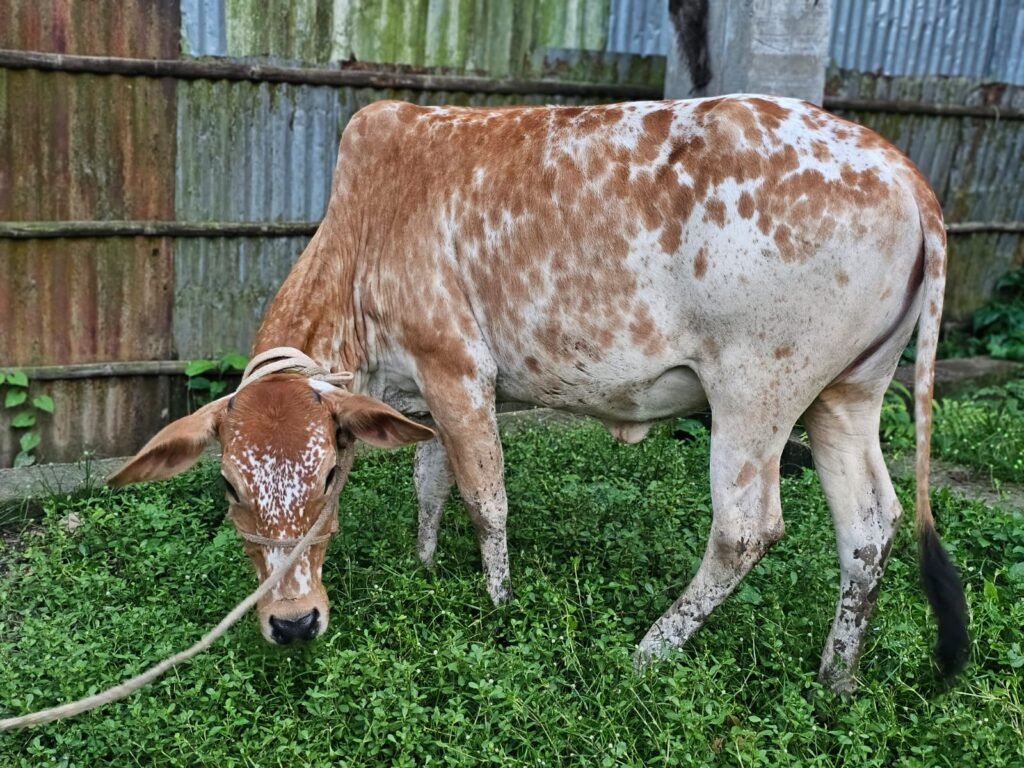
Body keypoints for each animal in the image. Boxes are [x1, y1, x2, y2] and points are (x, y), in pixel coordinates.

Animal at [110, 95, 969, 692]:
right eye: (229, 485)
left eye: (326, 476)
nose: (293, 623)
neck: (363, 232)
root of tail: (908, 178)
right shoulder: (423, 393)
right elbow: (431, 480)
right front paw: (426, 564)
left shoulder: (459, 369)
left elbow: (485, 498)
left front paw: (497, 606)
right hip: (845, 396)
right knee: (870, 526)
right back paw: (837, 674)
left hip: (757, 393)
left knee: (745, 530)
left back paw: (650, 650)